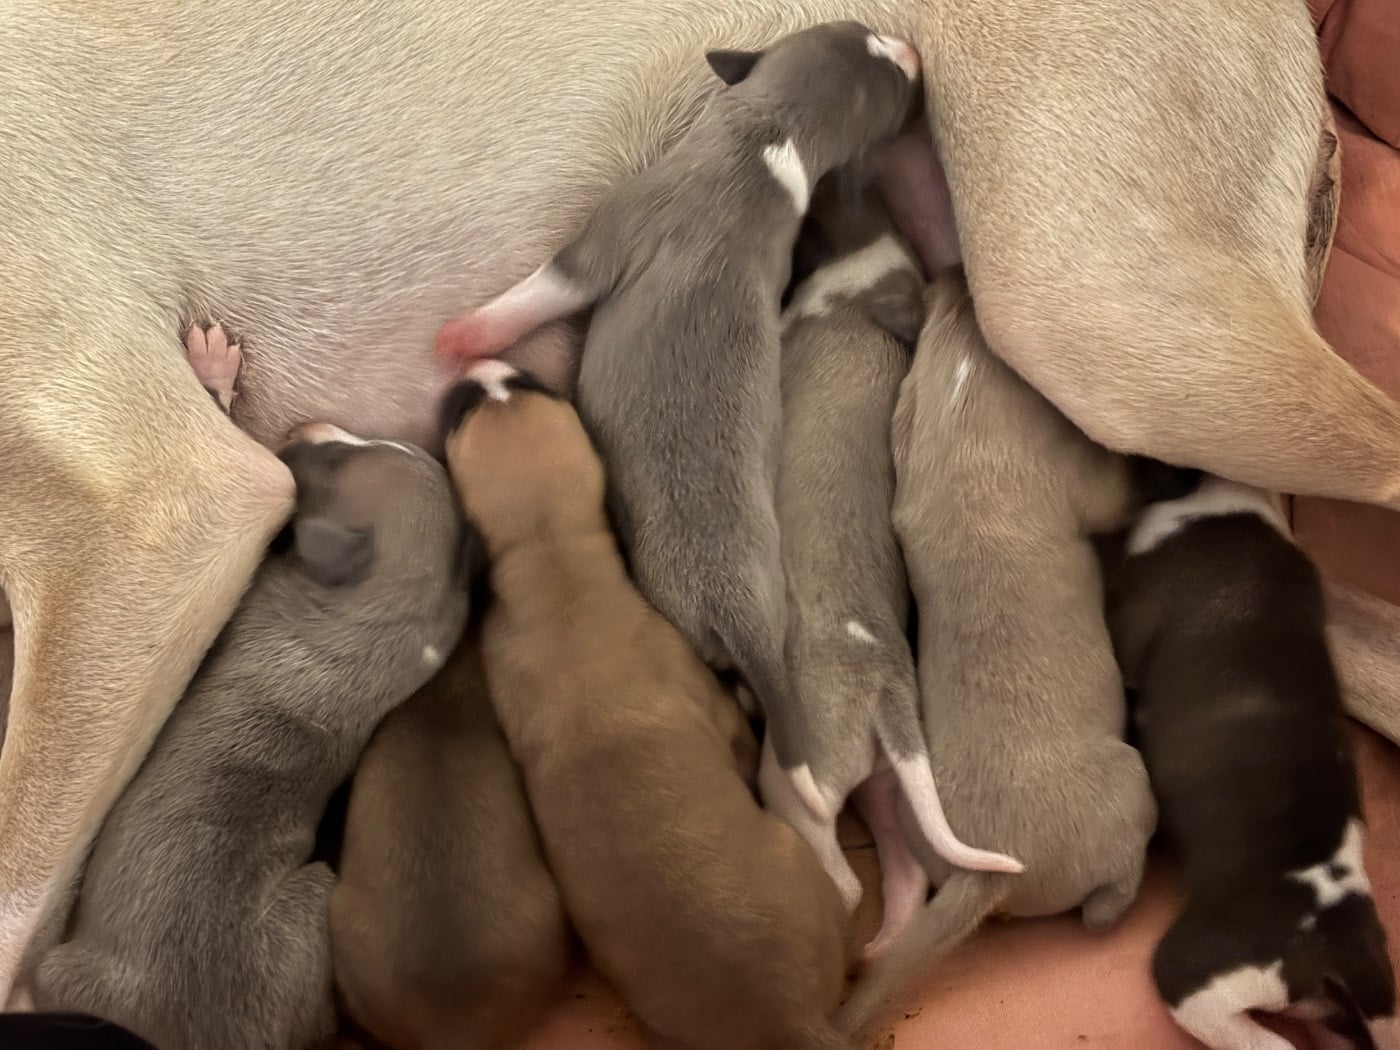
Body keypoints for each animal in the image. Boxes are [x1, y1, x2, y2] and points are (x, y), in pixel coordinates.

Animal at [32, 328, 474, 1050]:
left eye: (338, 460)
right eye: (359, 445)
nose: (299, 429)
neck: (387, 624)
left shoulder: (254, 595)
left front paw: (214, 377)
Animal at [441, 361, 850, 1050]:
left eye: (523, 388)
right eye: (466, 409)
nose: (480, 369)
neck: (556, 572)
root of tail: (786, 1014)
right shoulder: (693, 681)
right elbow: (735, 735)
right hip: (796, 858)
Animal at [837, 270, 1159, 1040]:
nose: (952, 272)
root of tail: (983, 875)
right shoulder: (1084, 487)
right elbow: (1113, 495)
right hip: (1130, 787)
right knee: (1107, 902)